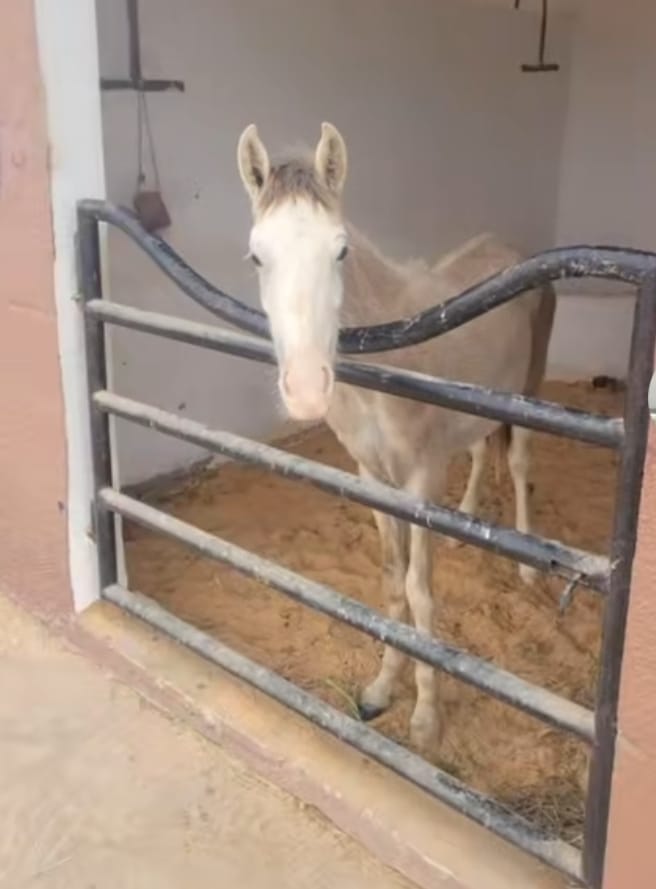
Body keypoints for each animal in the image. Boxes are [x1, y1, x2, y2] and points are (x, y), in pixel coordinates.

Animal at [237, 122, 556, 751]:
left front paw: (427, 718)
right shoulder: (374, 479)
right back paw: (467, 520)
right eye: (258, 255)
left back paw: (529, 565)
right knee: (480, 451)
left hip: (528, 396)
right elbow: (389, 583)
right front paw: (382, 690)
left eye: (340, 249)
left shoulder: (419, 483)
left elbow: (419, 591)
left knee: (521, 464)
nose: (306, 389)